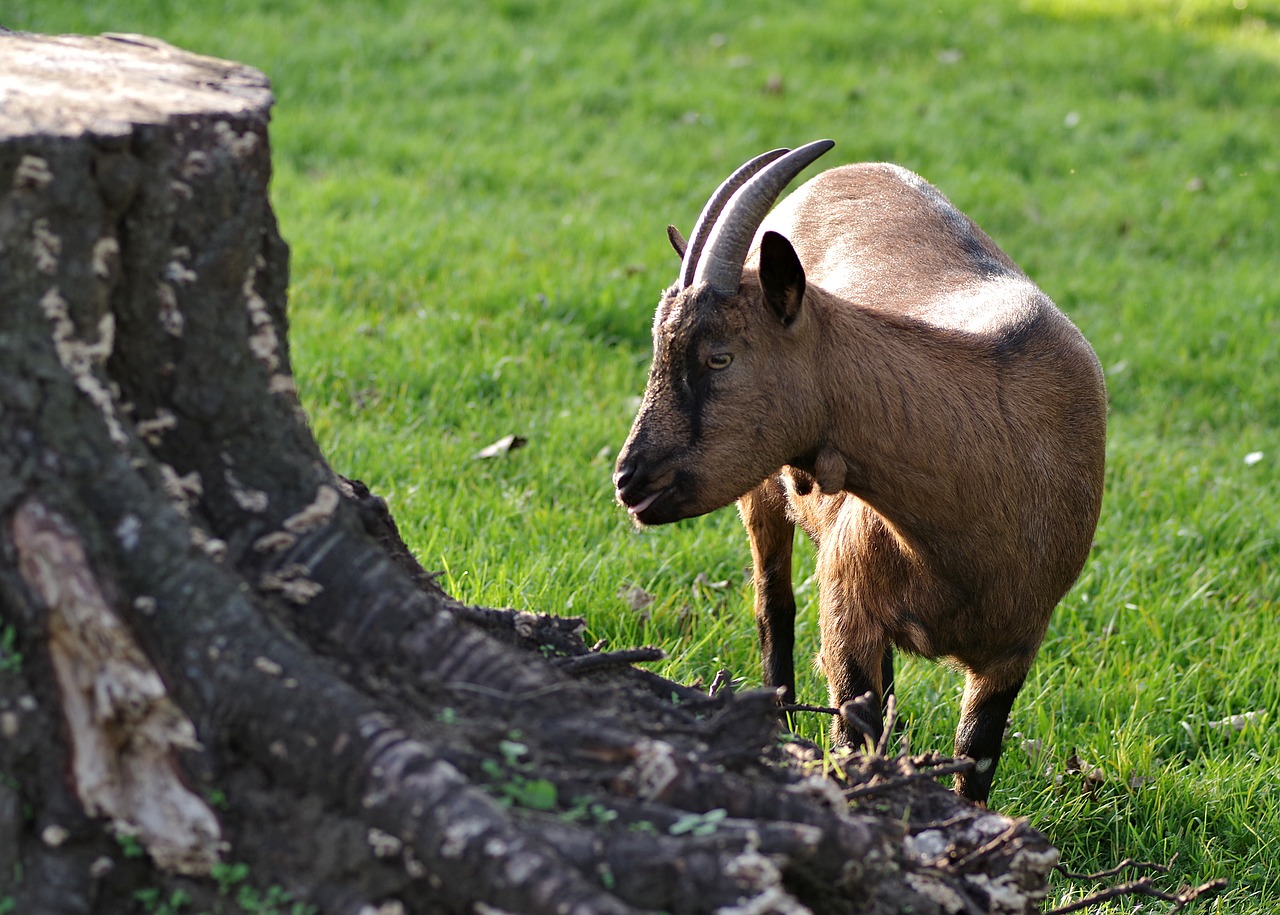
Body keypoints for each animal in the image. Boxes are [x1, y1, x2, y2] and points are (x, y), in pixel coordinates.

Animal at [614, 139, 1105, 803]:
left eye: (719, 357)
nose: (630, 480)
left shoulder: (1014, 648)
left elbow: (975, 762)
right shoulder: (848, 612)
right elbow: (852, 734)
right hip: (763, 495)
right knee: (773, 604)